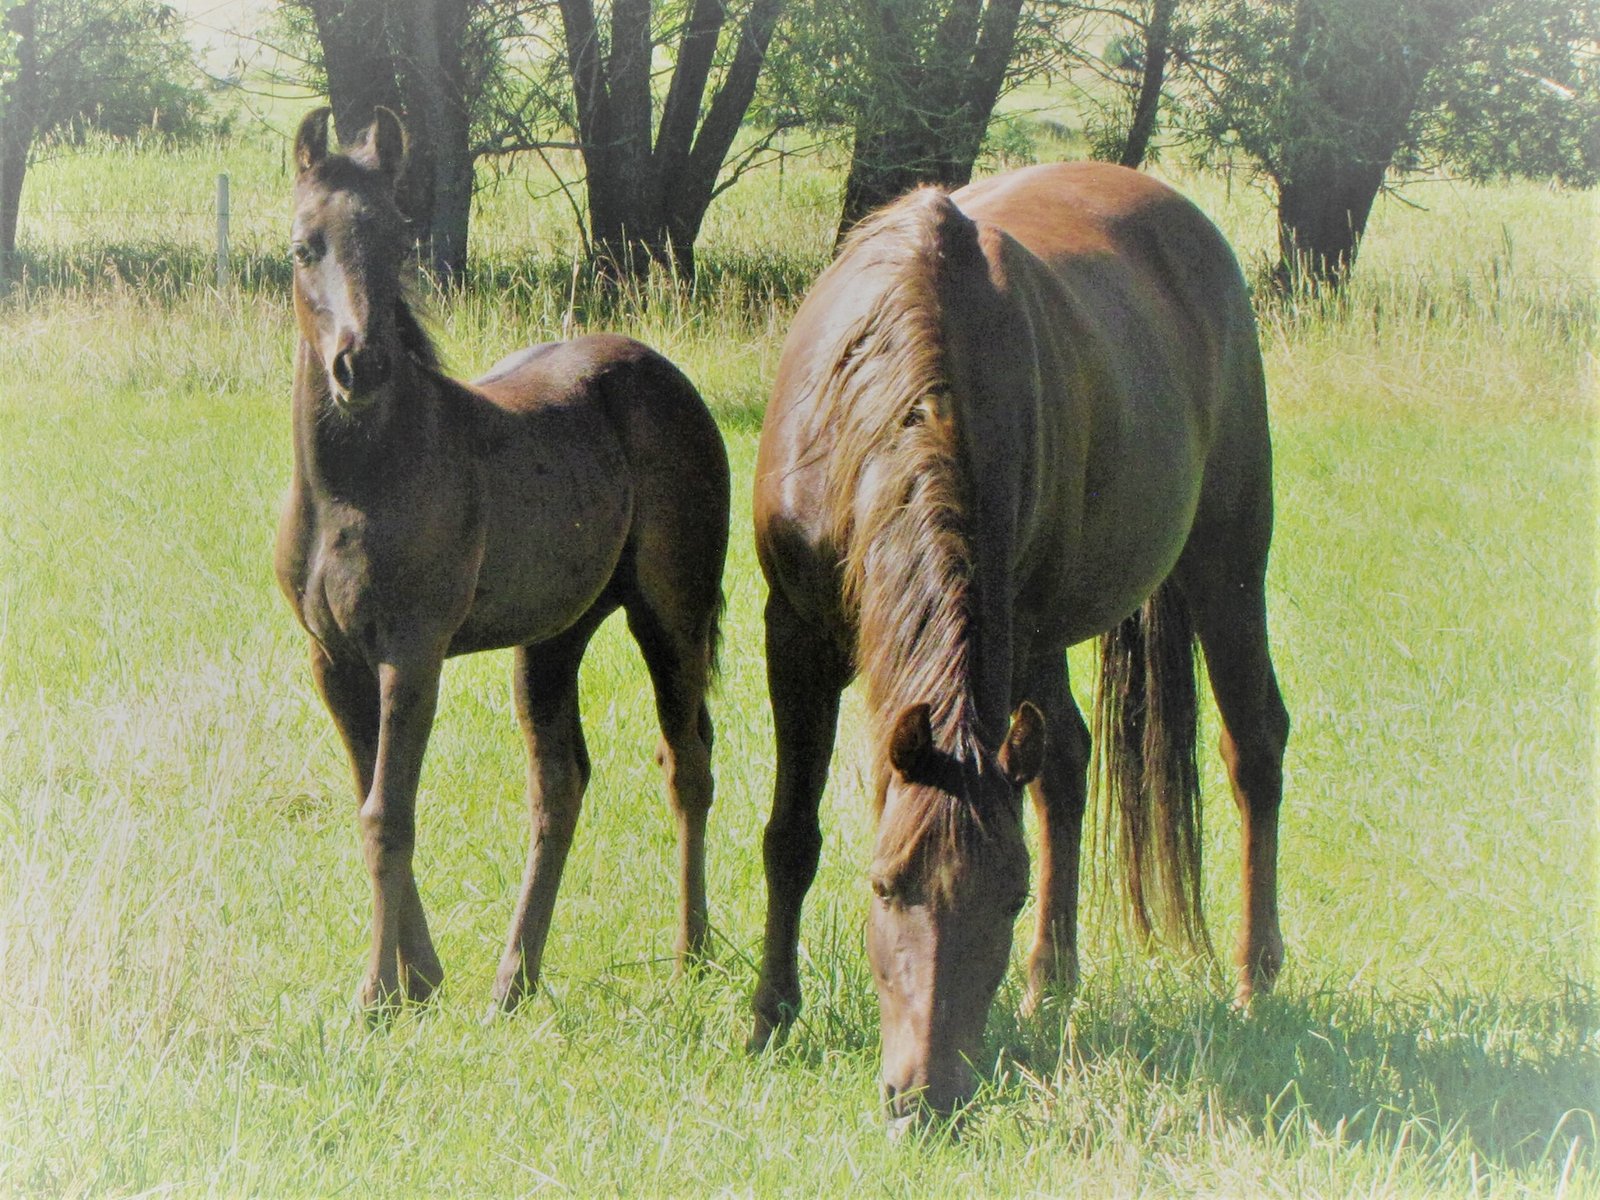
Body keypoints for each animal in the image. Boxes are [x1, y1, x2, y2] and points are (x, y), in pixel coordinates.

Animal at [275, 107, 730, 1016]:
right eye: (306, 245)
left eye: (398, 239)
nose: (361, 364)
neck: (358, 482)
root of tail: (673, 382)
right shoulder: (331, 658)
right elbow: (370, 797)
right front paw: (419, 979)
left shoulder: (411, 653)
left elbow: (389, 813)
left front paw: (378, 996)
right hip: (552, 638)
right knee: (560, 785)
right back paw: (514, 980)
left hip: (672, 614)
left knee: (688, 763)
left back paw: (689, 957)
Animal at [749, 161, 1290, 1126]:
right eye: (884, 886)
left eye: (1008, 895)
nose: (926, 1096)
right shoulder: (795, 633)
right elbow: (791, 833)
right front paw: (769, 1016)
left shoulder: (1016, 621)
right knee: (1067, 761)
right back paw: (1055, 984)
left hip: (1223, 557)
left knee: (1252, 743)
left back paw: (1250, 981)